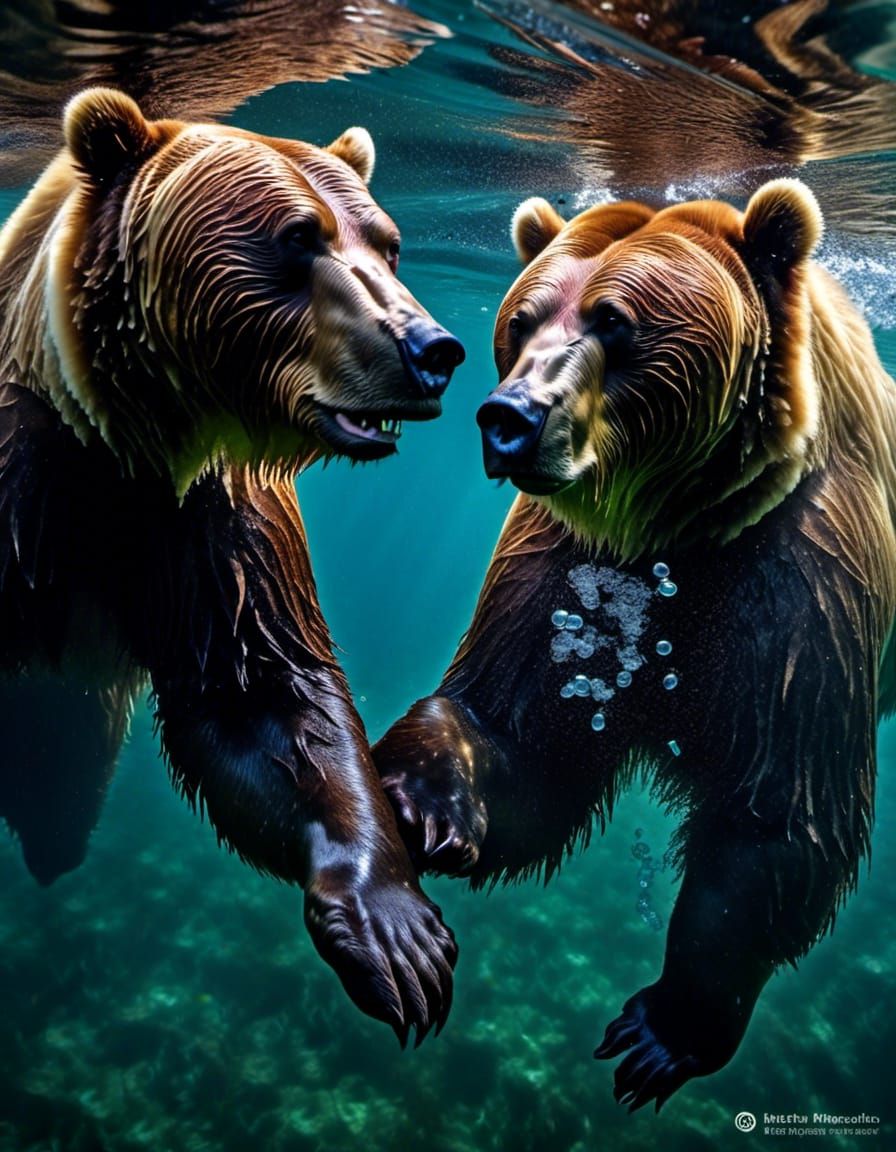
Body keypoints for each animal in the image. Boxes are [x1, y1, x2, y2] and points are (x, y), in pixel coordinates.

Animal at [0, 87, 465, 1044]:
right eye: (297, 236)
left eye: (388, 240)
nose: (430, 349)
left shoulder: (210, 525)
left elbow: (268, 701)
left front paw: (396, 933)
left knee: (61, 800)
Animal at [373, 179, 896, 1105]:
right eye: (522, 320)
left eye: (614, 320)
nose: (508, 417)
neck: (678, 527)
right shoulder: (564, 567)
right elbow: (524, 736)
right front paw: (425, 796)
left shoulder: (804, 576)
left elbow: (779, 814)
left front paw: (664, 1030)